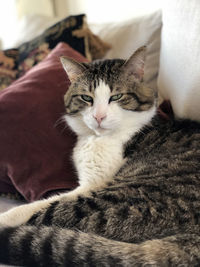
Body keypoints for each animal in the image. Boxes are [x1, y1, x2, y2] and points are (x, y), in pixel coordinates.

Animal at [0, 47, 200, 266]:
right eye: (87, 98)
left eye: (117, 96)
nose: (99, 116)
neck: (94, 138)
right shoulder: (85, 184)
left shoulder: (91, 184)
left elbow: (39, 205)